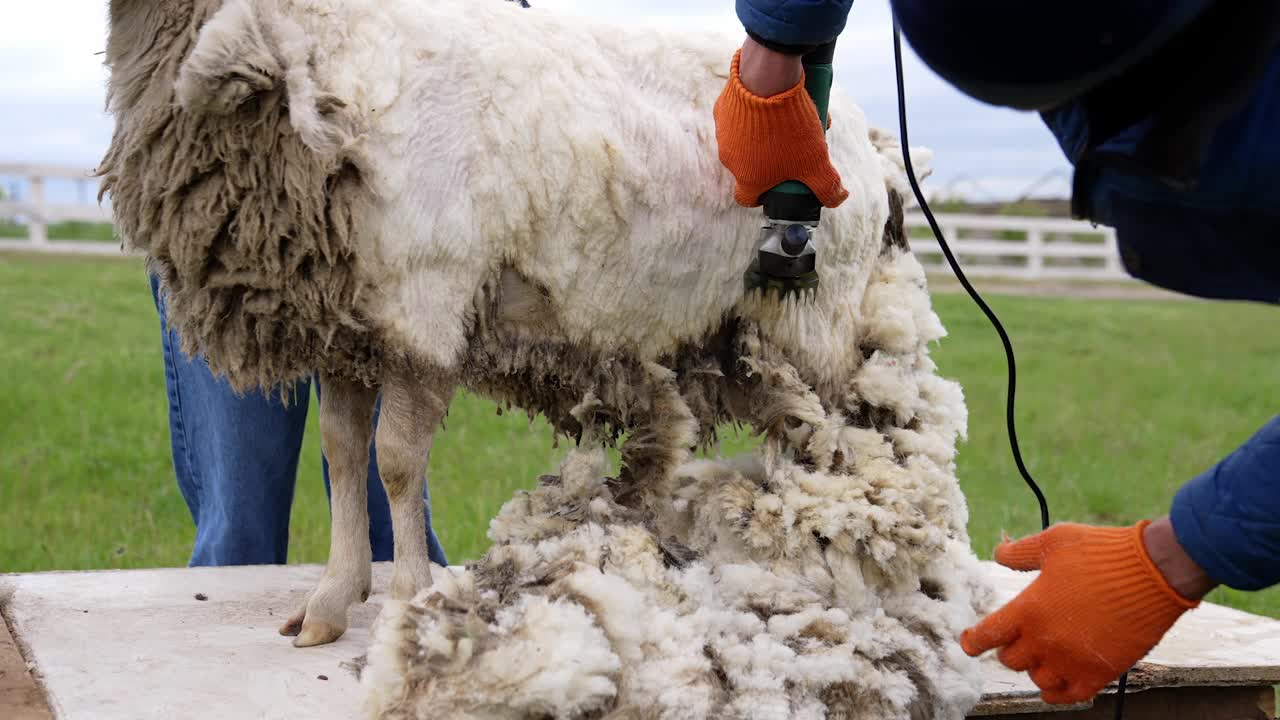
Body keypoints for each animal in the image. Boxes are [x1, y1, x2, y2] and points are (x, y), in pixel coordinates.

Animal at [99, 0, 988, 712]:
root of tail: (870, 137)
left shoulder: (427, 300)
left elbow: (396, 462)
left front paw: (407, 604)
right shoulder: (351, 326)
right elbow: (343, 453)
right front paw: (331, 599)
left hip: (818, 315)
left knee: (856, 456)